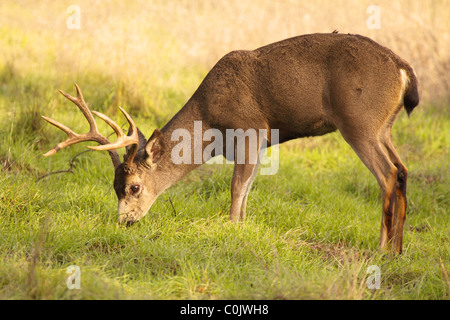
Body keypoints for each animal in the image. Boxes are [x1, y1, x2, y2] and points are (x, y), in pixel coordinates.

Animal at [42, 33, 418, 255]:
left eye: (134, 186)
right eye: (114, 186)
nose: (125, 221)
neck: (209, 122)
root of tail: (403, 70)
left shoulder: (250, 129)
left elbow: (238, 186)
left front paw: (231, 231)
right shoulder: (261, 141)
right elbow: (248, 188)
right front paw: (242, 227)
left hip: (359, 122)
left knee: (386, 174)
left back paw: (380, 249)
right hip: (383, 128)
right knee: (402, 170)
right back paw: (398, 250)